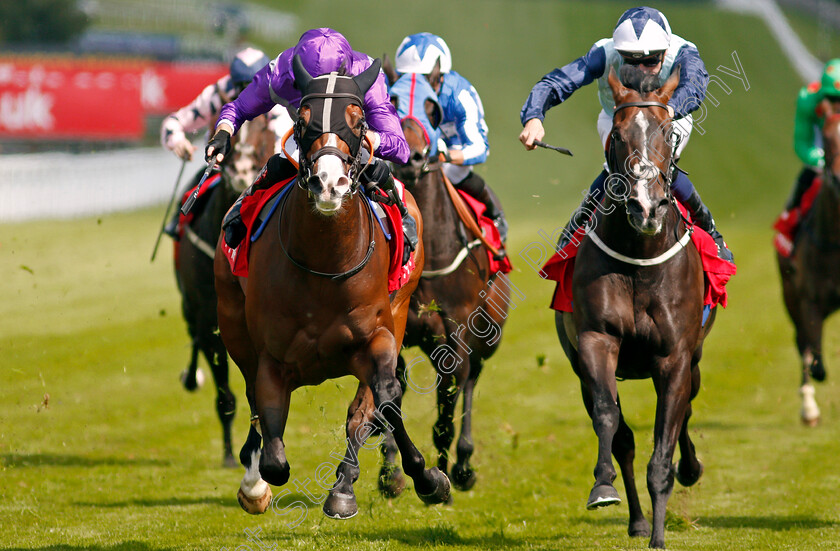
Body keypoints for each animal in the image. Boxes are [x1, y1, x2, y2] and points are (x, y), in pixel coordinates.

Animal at [217, 58, 452, 520]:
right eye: (302, 120)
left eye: (358, 120)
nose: (329, 183)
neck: (326, 266)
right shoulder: (272, 357)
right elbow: (274, 454)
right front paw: (256, 484)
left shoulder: (377, 335)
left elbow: (385, 398)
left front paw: (428, 479)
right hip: (233, 322)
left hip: (398, 313)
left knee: (368, 407)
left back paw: (346, 484)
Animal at [376, 67, 508, 498]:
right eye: (390, 102)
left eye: (432, 108)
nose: (412, 158)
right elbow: (391, 395)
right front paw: (391, 471)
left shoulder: (457, 333)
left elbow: (450, 398)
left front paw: (442, 471)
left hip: (488, 334)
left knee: (469, 382)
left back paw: (463, 464)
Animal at [556, 68, 716, 548]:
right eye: (618, 135)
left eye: (667, 132)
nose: (646, 206)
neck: (640, 255)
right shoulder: (595, 341)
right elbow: (610, 420)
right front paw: (603, 486)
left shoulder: (675, 357)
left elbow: (664, 443)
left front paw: (660, 535)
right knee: (622, 434)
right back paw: (637, 518)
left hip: (694, 361)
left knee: (686, 411)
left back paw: (688, 470)